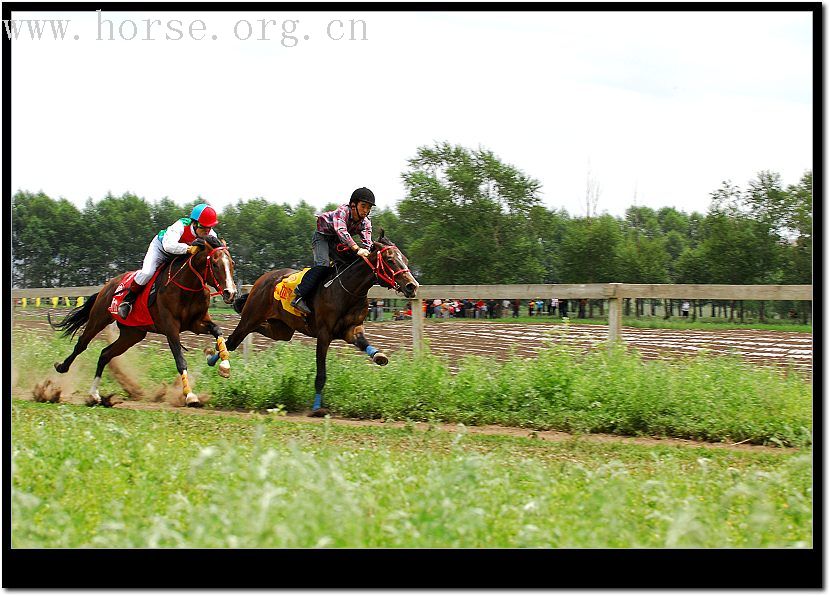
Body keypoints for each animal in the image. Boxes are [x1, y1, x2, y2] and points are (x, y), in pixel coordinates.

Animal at [48, 235, 239, 408]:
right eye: (214, 264)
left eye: (232, 264)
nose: (231, 293)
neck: (187, 286)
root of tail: (107, 285)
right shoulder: (171, 327)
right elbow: (180, 360)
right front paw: (190, 396)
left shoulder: (197, 323)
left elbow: (218, 331)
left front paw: (224, 365)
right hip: (99, 318)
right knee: (82, 344)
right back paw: (62, 368)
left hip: (133, 334)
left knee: (105, 354)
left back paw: (94, 395)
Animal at [226, 230, 420, 416]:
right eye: (390, 260)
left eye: (405, 259)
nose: (412, 286)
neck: (347, 290)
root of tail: (263, 278)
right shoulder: (324, 334)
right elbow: (321, 374)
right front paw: (317, 408)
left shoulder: (352, 329)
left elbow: (364, 342)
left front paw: (379, 356)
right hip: (252, 316)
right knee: (233, 340)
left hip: (282, 329)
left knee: (257, 330)